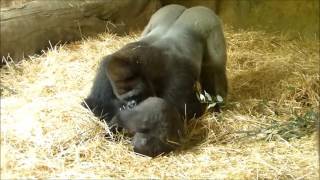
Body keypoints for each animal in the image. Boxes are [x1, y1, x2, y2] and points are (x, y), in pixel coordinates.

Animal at [82, 4, 228, 156]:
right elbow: (95, 105)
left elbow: (174, 115)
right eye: (126, 98)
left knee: (215, 70)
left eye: (136, 95)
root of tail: (189, 8)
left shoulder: (176, 73)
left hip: (210, 23)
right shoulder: (106, 68)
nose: (132, 104)